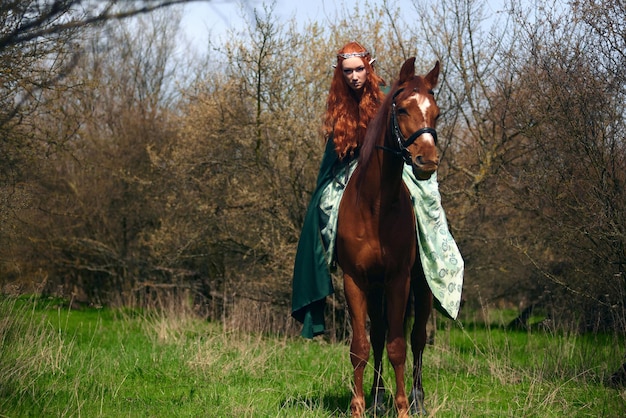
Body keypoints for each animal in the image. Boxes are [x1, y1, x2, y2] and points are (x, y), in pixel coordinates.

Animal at [336, 57, 438, 416]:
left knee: (417, 338)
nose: (428, 161)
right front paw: (357, 406)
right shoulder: (354, 280)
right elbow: (361, 346)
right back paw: (377, 397)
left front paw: (404, 406)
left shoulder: (398, 280)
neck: (375, 206)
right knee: (378, 336)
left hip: (422, 286)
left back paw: (417, 398)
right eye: (403, 109)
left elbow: (398, 346)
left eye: (437, 113)